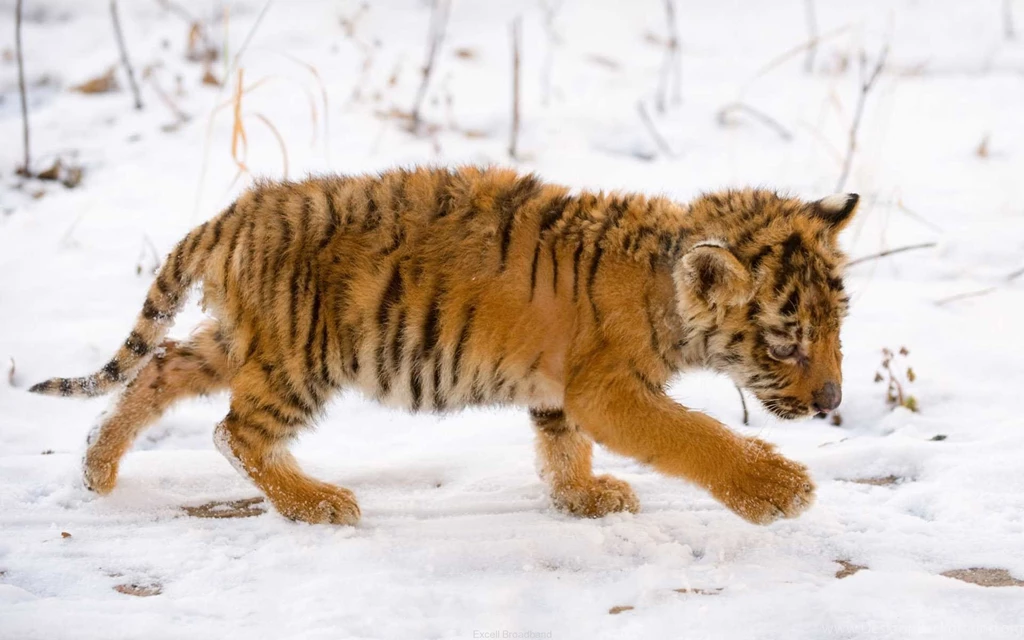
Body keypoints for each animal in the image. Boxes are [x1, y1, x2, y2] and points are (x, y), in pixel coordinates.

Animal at [29, 166, 857, 526]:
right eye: (787, 344)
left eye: (838, 327)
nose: (833, 400)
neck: (665, 278)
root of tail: (232, 215)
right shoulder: (610, 389)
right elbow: (695, 435)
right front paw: (778, 489)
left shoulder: (563, 392)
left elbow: (562, 446)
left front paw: (583, 497)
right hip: (299, 357)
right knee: (234, 432)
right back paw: (317, 503)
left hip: (239, 340)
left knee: (158, 369)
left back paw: (98, 468)